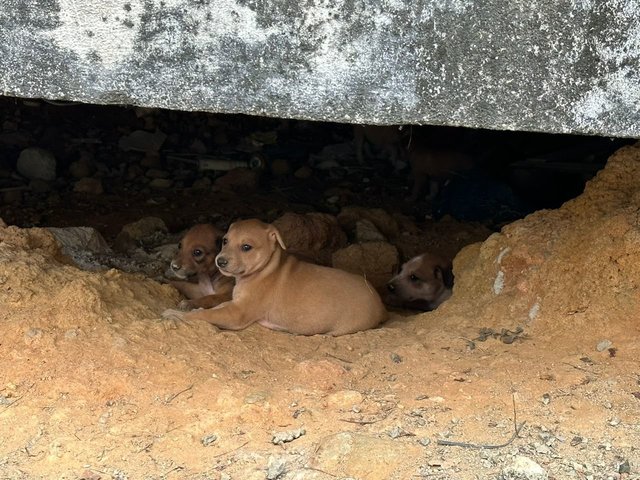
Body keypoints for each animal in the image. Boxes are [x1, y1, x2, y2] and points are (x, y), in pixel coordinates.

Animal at [162, 219, 388, 336]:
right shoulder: (233, 303)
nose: (221, 261)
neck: (264, 269)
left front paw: (175, 313)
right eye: (225, 241)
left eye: (246, 247)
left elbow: (204, 314)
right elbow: (211, 307)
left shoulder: (237, 313)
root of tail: (381, 304)